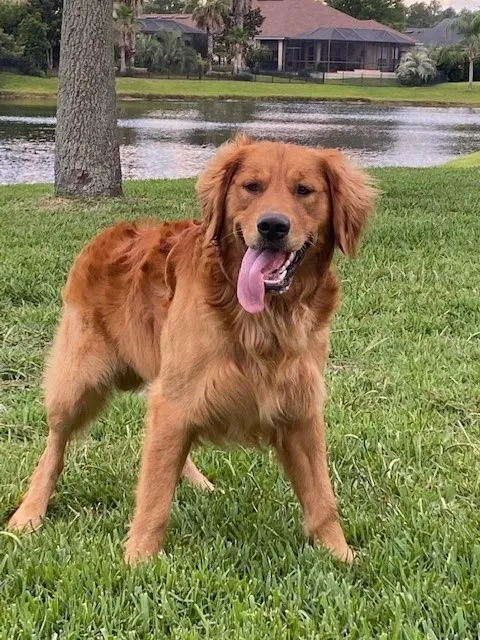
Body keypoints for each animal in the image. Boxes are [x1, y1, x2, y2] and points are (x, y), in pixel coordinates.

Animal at [8, 138, 376, 564]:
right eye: (251, 187)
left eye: (304, 191)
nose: (272, 226)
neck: (264, 320)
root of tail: (106, 233)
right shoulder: (173, 402)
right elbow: (153, 497)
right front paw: (138, 561)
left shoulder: (300, 410)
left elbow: (322, 499)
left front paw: (341, 555)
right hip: (78, 381)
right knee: (55, 444)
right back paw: (30, 512)